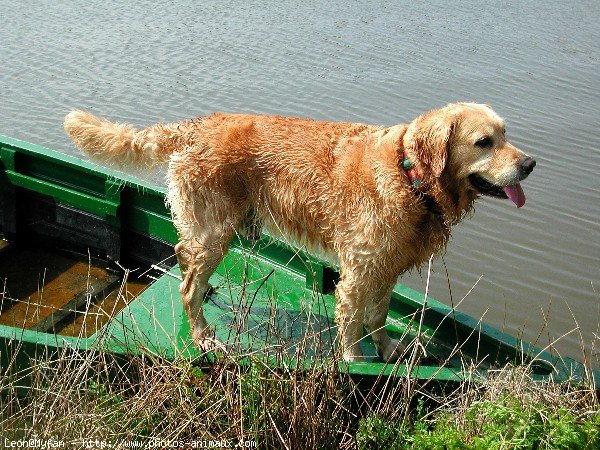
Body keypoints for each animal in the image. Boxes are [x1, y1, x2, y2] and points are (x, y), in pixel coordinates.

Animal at [64, 103, 536, 362]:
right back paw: (202, 336)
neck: (410, 176)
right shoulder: (361, 266)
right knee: (187, 286)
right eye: (484, 141)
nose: (530, 164)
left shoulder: (388, 265)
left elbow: (379, 315)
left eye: (505, 134)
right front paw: (355, 361)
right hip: (215, 229)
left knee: (184, 259)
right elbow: (352, 320)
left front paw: (387, 349)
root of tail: (196, 124)